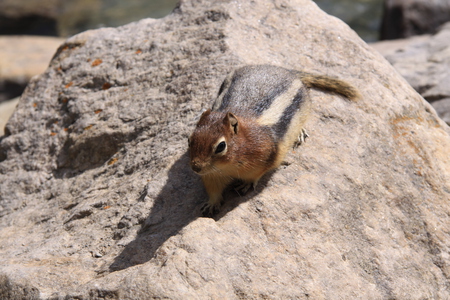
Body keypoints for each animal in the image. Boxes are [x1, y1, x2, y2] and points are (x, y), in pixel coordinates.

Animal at [188, 65, 360, 216]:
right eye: (189, 140)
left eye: (221, 146)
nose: (196, 168)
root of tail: (287, 71)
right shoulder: (211, 175)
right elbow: (213, 190)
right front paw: (211, 204)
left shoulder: (265, 159)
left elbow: (256, 175)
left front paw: (246, 184)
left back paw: (300, 133)